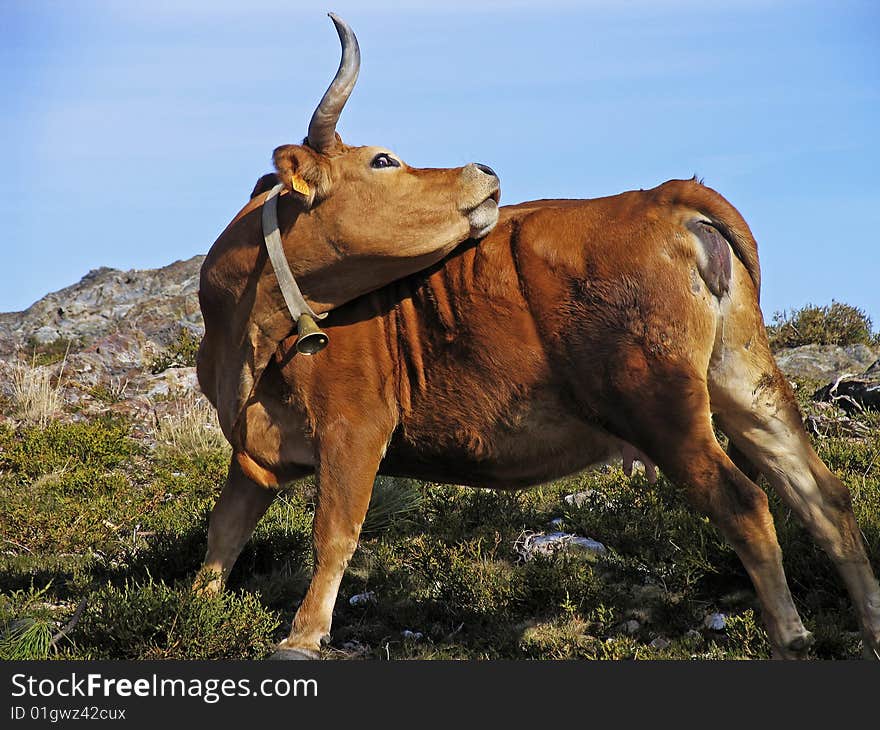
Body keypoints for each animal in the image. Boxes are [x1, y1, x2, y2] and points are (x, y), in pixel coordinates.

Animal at [194, 27, 880, 660]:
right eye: (383, 160)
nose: (485, 168)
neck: (247, 345)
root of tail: (661, 196)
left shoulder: (354, 426)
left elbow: (334, 532)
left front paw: (304, 636)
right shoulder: (254, 450)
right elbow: (222, 535)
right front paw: (196, 607)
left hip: (660, 403)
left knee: (745, 501)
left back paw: (790, 637)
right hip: (744, 380)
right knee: (823, 496)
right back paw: (870, 630)